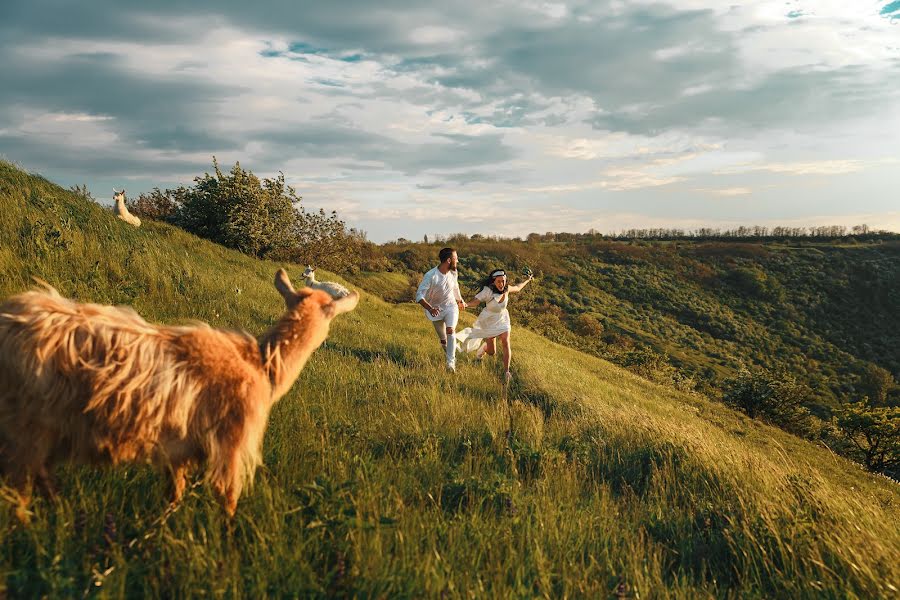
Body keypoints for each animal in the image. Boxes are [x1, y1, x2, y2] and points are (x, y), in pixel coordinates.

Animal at [0, 268, 358, 516]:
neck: (262, 365)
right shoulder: (230, 443)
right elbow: (227, 501)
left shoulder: (178, 448)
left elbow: (174, 493)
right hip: (23, 429)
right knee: (18, 494)